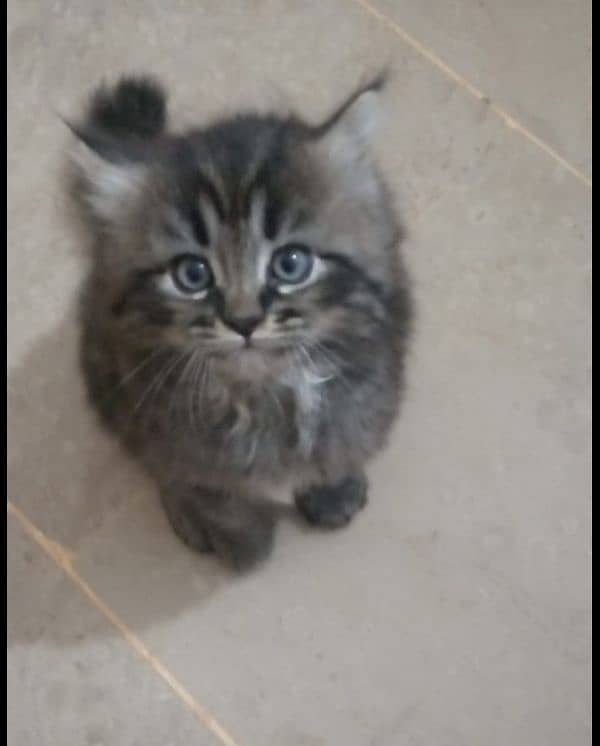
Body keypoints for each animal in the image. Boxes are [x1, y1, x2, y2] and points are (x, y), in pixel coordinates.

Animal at [68, 75, 410, 568]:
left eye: (290, 264)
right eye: (192, 274)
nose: (244, 321)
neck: (266, 396)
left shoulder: (367, 389)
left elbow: (339, 441)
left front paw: (332, 486)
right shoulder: (165, 420)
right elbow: (209, 485)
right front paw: (237, 535)